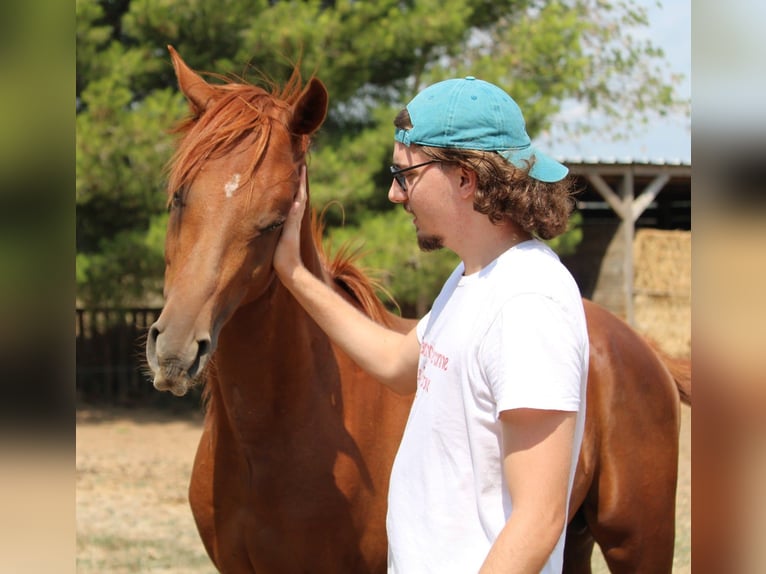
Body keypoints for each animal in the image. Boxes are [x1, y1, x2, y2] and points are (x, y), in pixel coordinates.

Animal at [144, 49, 688, 574]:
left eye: (275, 221)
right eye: (179, 198)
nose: (174, 352)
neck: (273, 434)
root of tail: (642, 347)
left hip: (638, 541)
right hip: (572, 537)